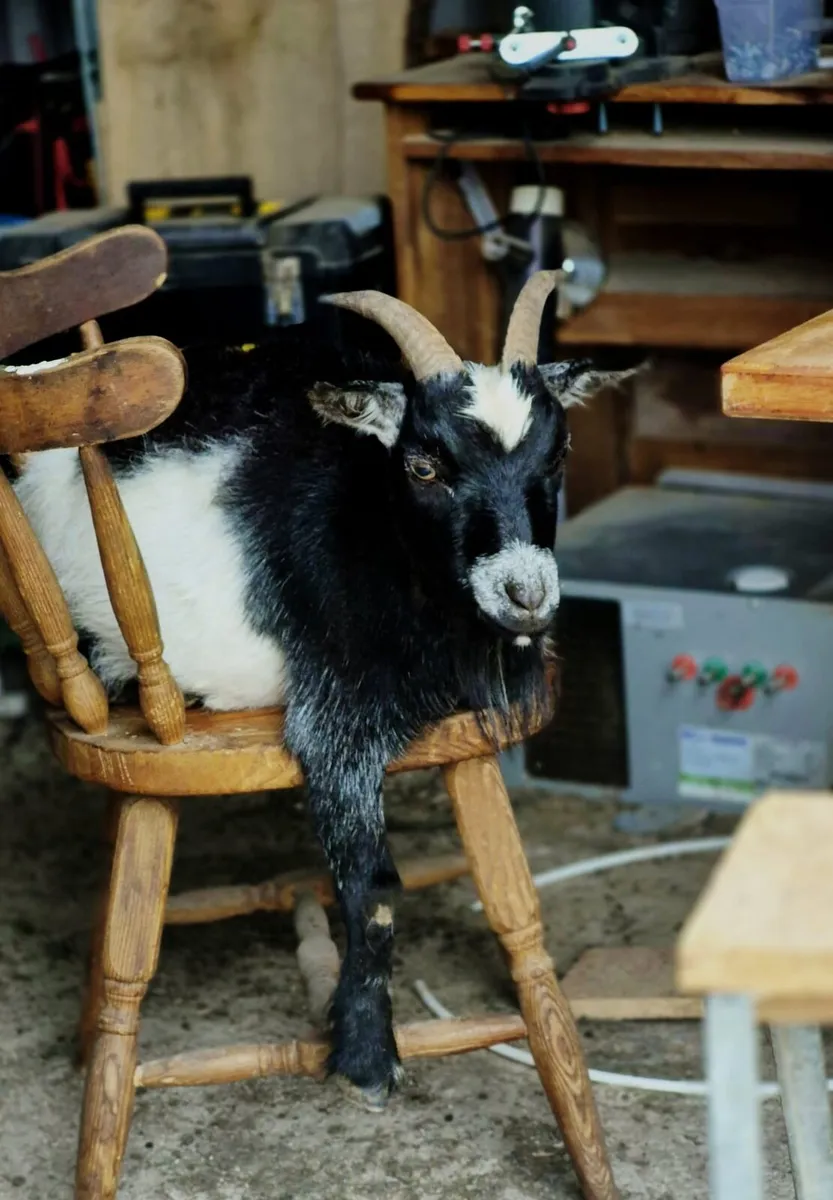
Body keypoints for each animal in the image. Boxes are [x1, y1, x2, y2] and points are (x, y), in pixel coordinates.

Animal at [9, 271, 630, 1106]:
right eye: (423, 466)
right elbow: (373, 891)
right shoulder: (335, 721)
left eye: (558, 453)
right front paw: (366, 1054)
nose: (525, 594)